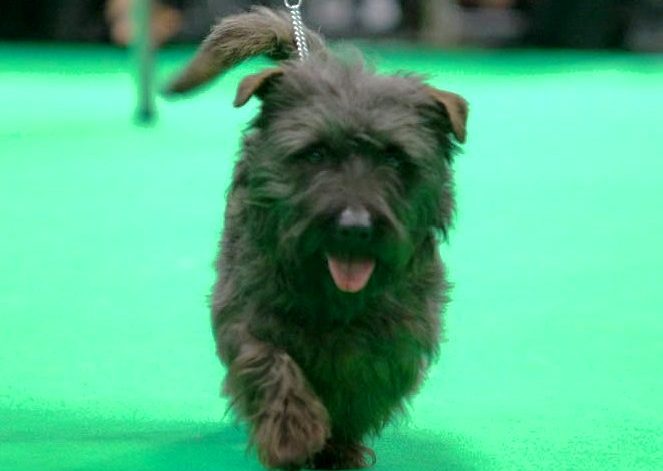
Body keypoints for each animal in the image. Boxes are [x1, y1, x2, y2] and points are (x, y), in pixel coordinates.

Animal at [166, 7, 466, 471]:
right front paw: (292, 433)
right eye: (315, 153)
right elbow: (269, 363)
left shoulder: (395, 338)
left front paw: (338, 447)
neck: (333, 295)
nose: (355, 226)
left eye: (395, 158)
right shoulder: (246, 313)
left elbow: (359, 389)